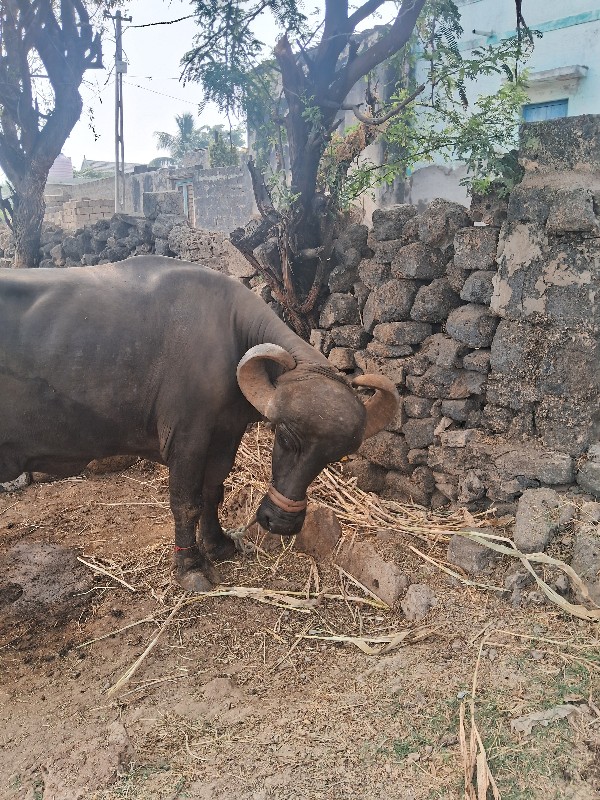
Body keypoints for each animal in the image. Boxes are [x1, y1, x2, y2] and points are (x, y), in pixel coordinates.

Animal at [0, 260, 398, 592]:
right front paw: (190, 566)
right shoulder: (186, 439)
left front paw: (218, 544)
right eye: (284, 435)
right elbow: (186, 502)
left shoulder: (225, 435)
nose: (281, 523)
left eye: (334, 457)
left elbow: (213, 491)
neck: (230, 335)